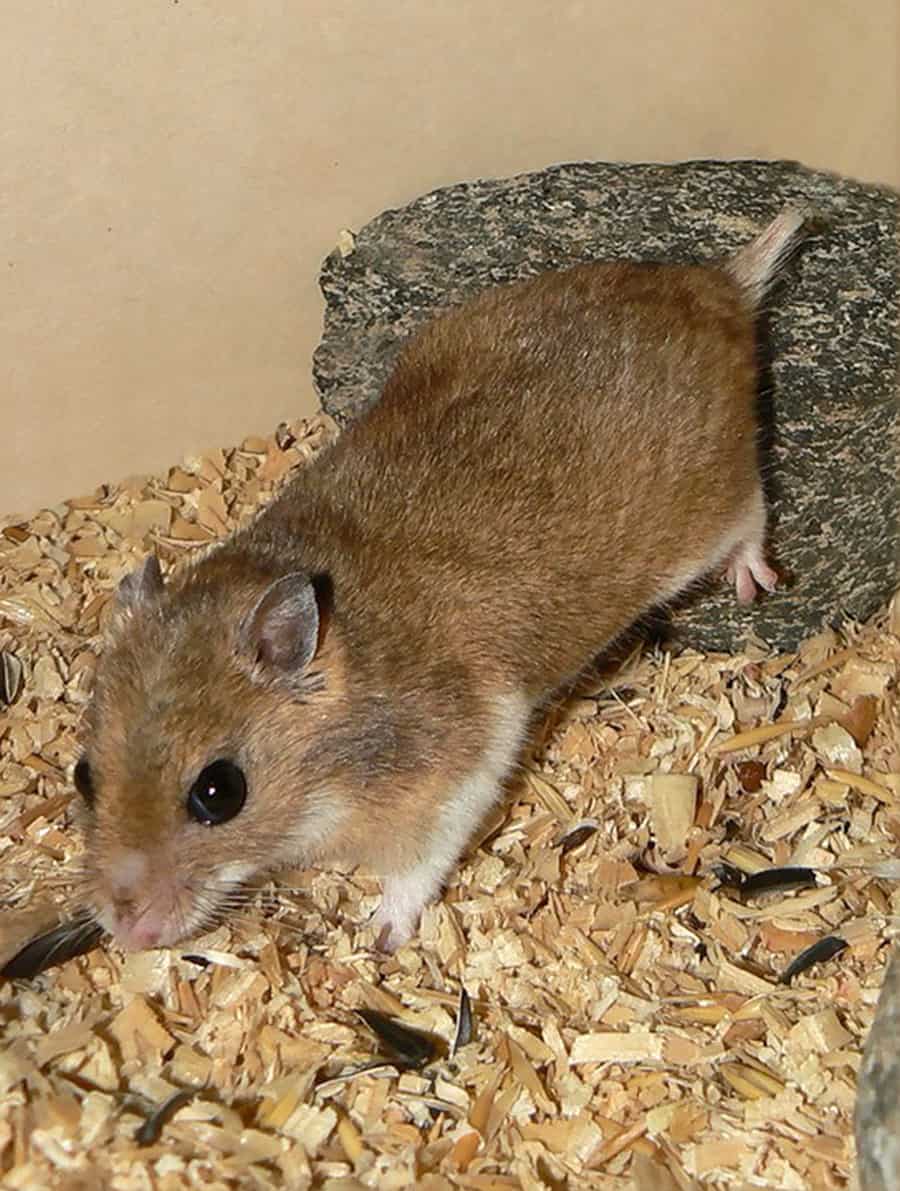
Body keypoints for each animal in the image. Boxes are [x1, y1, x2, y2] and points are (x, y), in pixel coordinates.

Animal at [75, 207, 806, 952]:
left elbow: (413, 868)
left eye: (219, 792)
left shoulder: (459, 771)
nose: (126, 932)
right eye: (83, 775)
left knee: (753, 514)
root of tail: (719, 286)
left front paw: (380, 937)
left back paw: (753, 582)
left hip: (710, 516)